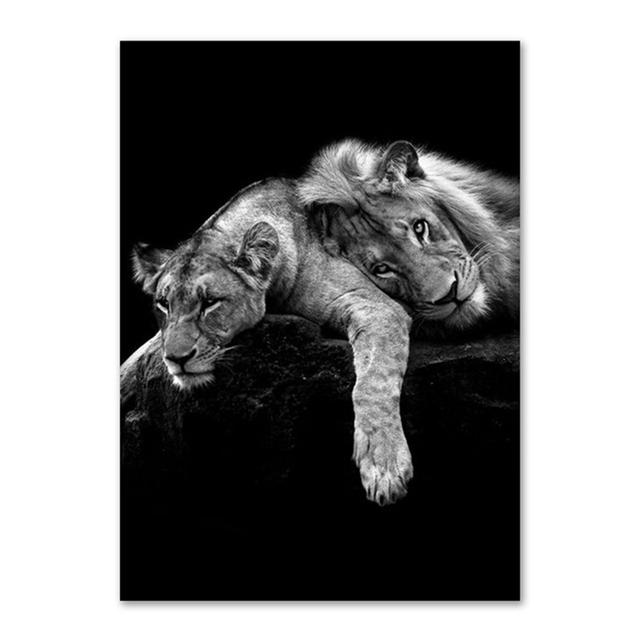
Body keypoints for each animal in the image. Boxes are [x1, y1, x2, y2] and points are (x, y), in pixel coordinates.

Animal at [127, 179, 414, 506]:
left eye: (210, 302)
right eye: (163, 304)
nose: (176, 358)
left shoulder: (378, 307)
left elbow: (372, 384)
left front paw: (384, 467)